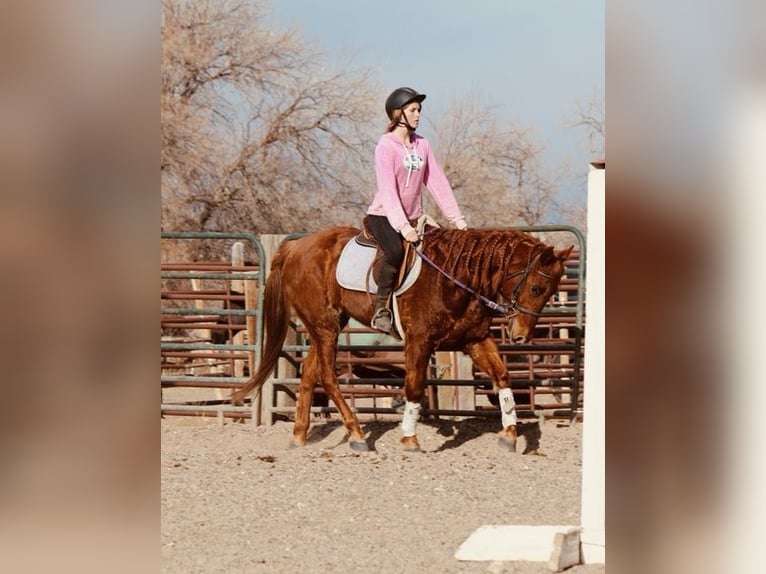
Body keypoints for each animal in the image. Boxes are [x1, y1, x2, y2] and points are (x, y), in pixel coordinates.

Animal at [231, 225, 572, 454]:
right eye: (537, 288)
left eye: (550, 292)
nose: (520, 335)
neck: (455, 279)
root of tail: (295, 248)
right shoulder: (419, 341)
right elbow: (415, 388)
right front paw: (410, 438)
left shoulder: (474, 339)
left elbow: (502, 377)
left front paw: (510, 434)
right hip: (326, 326)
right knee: (327, 375)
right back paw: (357, 435)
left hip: (326, 325)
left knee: (310, 373)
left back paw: (300, 435)